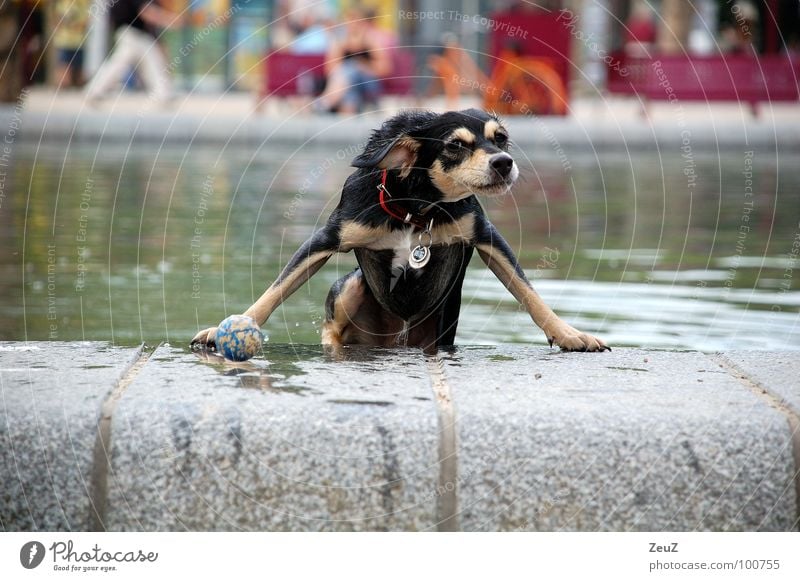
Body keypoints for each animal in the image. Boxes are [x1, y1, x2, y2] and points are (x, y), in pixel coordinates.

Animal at [191, 109, 608, 354]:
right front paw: (224, 328)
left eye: (501, 138)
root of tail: (397, 340)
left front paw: (569, 334)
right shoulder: (328, 237)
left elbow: (529, 292)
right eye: (455, 145)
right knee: (332, 325)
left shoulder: (485, 235)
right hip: (352, 286)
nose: (504, 162)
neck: (416, 208)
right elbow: (275, 289)